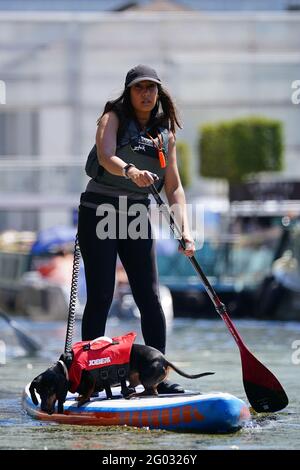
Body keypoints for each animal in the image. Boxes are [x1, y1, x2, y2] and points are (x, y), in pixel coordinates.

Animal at [29, 342, 214, 414]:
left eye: (50, 390)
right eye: (39, 392)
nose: (43, 409)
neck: (66, 367)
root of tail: (164, 359)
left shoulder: (90, 378)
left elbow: (88, 390)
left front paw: (82, 399)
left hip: (144, 377)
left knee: (151, 392)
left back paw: (134, 394)